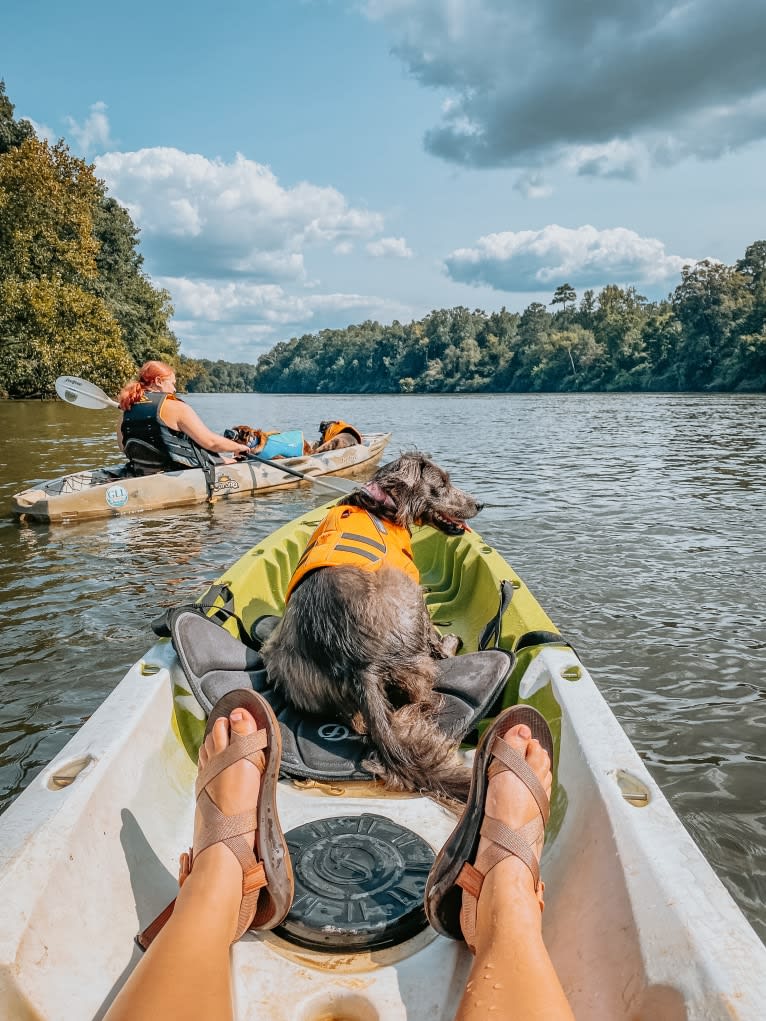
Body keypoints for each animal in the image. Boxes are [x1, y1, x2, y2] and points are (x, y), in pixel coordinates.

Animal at [261, 451, 482, 800]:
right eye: (443, 483)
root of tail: (358, 662)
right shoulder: (414, 582)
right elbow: (431, 629)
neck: (381, 506)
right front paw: (445, 644)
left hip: (279, 657)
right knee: (422, 692)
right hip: (405, 594)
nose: (480, 505)